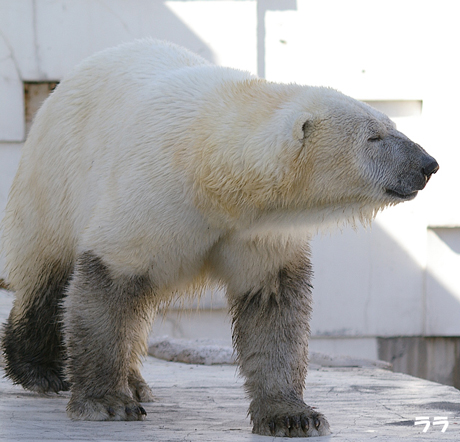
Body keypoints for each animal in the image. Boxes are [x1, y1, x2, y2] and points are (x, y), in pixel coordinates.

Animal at [0, 39, 438, 436]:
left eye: (393, 126)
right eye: (373, 137)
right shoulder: (152, 195)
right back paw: (39, 369)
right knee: (48, 272)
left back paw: (136, 382)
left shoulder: (257, 230)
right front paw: (107, 402)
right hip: (55, 177)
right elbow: (109, 282)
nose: (428, 164)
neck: (210, 166)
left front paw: (292, 415)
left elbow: (272, 303)